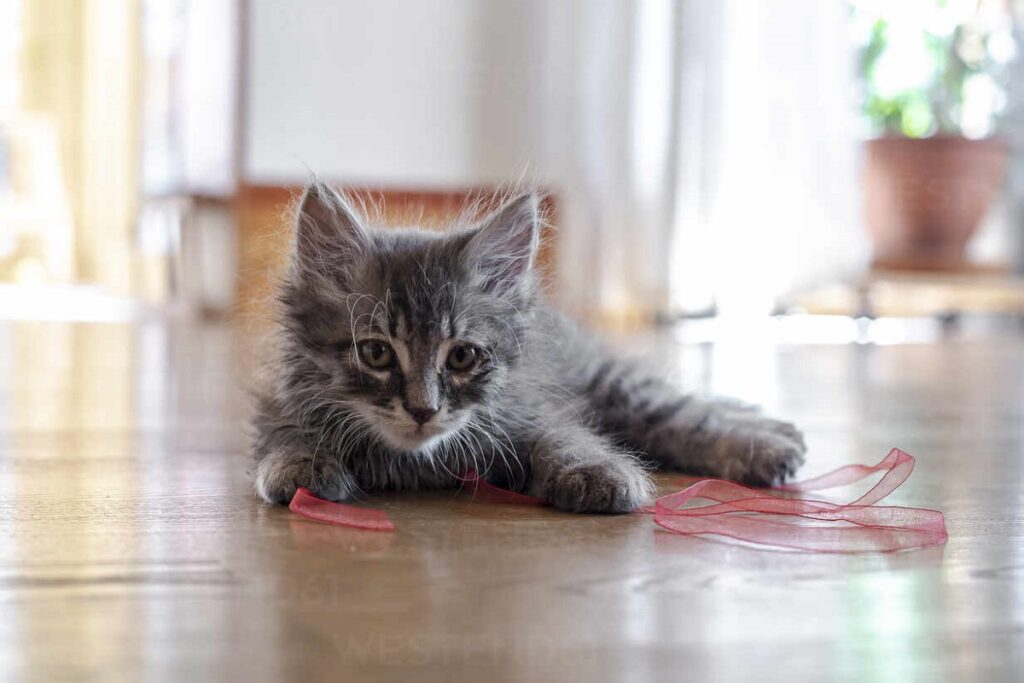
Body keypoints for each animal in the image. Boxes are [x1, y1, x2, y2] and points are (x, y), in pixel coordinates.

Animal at [249, 181, 806, 511]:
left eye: (462, 356)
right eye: (377, 353)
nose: (423, 410)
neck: (415, 461)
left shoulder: (532, 410)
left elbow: (566, 439)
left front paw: (597, 472)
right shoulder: (275, 405)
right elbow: (286, 434)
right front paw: (300, 464)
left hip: (616, 387)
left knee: (688, 414)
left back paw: (770, 444)